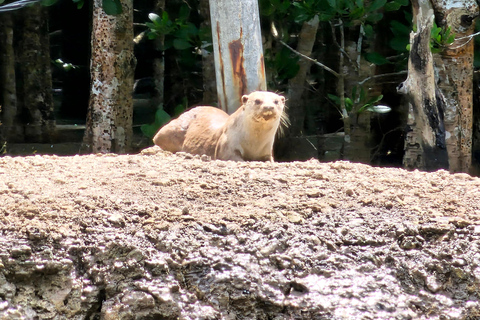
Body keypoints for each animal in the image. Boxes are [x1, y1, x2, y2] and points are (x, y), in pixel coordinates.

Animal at [155, 90, 284, 161]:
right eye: (257, 101)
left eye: (276, 101)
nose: (269, 107)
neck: (253, 144)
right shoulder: (227, 144)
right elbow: (232, 157)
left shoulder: (267, 151)